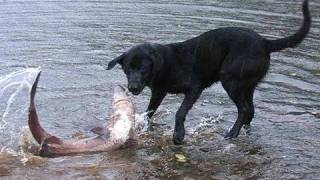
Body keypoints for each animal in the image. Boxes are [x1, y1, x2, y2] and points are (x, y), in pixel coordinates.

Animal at [107, 0, 310, 145]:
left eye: (143, 68)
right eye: (127, 69)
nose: (133, 88)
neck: (167, 64)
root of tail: (265, 42)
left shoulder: (194, 89)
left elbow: (180, 112)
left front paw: (178, 135)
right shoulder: (158, 92)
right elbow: (150, 111)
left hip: (230, 80)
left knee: (244, 110)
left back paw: (232, 133)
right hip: (247, 85)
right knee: (250, 111)